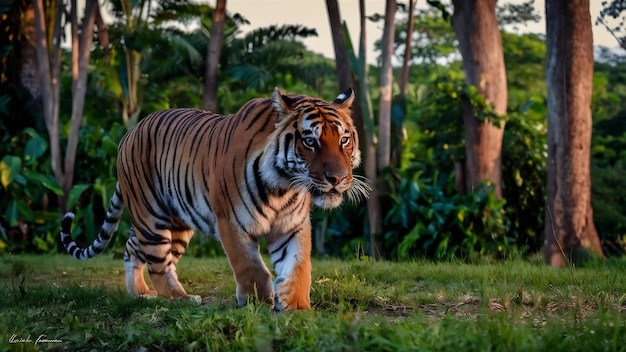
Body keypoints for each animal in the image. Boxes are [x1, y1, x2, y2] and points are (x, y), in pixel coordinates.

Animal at [59, 88, 366, 310]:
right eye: (310, 141)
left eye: (344, 140)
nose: (337, 178)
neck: (284, 187)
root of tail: (128, 133)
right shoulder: (231, 221)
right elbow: (250, 266)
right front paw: (257, 303)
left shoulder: (292, 226)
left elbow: (298, 267)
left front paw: (297, 308)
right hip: (150, 215)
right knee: (157, 262)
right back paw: (181, 299)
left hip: (176, 224)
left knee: (133, 247)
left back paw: (140, 293)